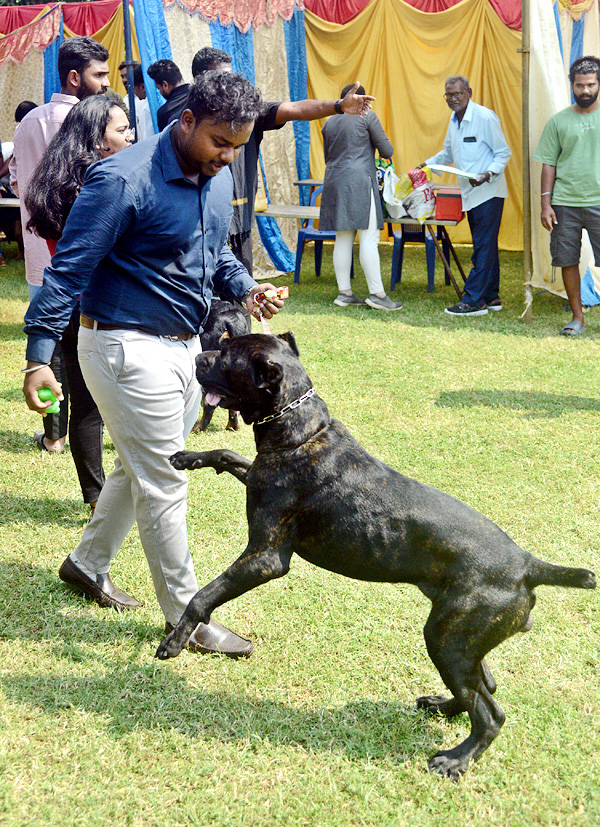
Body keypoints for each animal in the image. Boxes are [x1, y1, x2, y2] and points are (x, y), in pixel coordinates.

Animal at [158, 334, 596, 780]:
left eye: (228, 357)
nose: (199, 356)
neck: (301, 429)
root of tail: (528, 565)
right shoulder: (256, 480)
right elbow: (228, 454)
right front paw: (188, 457)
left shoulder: (265, 558)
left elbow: (204, 595)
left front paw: (175, 640)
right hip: (461, 639)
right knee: (483, 686)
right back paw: (443, 707)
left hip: (448, 638)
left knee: (490, 714)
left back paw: (454, 760)